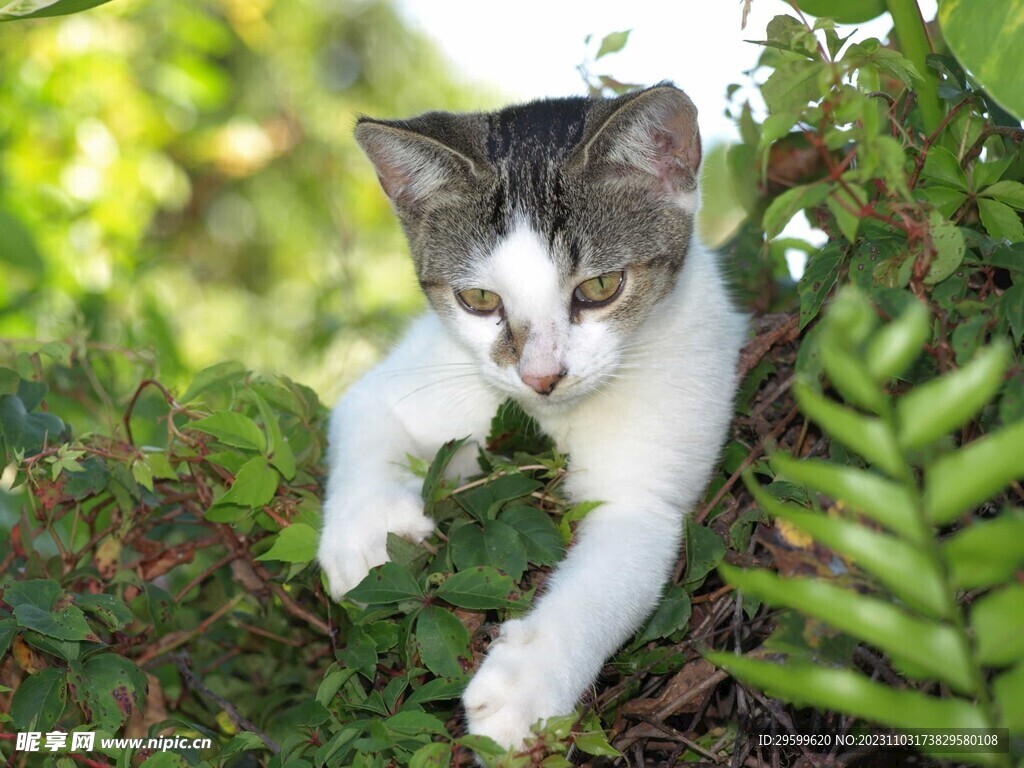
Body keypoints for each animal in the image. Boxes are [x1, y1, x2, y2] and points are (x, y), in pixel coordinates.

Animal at [315, 83, 749, 753]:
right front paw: (365, 534)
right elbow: (362, 412)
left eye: (600, 286)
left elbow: (608, 578)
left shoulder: (647, 490)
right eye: (478, 300)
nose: (542, 377)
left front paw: (526, 686)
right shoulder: (418, 374)